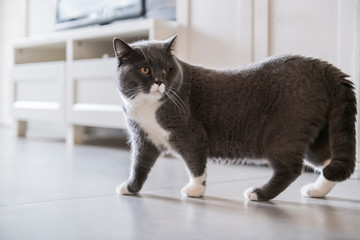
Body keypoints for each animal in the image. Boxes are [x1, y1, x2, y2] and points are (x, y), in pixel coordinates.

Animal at [114, 35, 356, 201]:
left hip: (283, 134)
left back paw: (259, 193)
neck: (148, 108)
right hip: (316, 137)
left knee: (292, 168)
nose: (159, 82)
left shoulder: (190, 135)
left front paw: (196, 190)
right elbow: (139, 165)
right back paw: (316, 190)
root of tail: (325, 68)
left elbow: (195, 163)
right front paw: (130, 188)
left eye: (166, 70)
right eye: (145, 70)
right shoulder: (144, 138)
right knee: (329, 163)